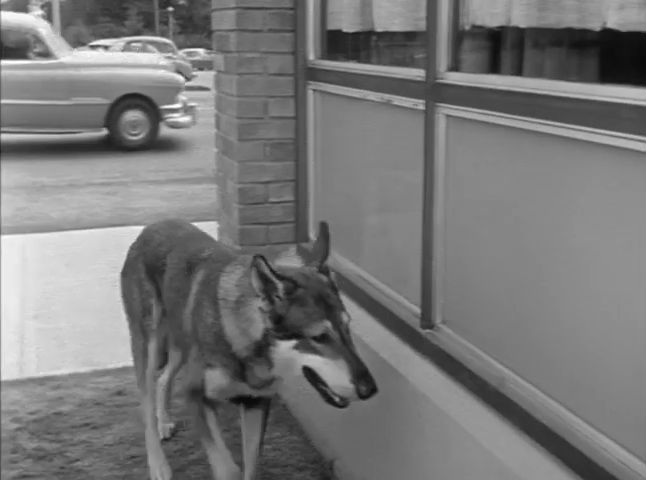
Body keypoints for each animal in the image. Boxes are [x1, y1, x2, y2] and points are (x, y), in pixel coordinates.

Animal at [120, 218, 380, 480]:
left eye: (347, 327)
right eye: (319, 337)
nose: (370, 390)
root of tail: (152, 226)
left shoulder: (256, 404)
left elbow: (252, 466)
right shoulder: (195, 396)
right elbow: (229, 470)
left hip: (179, 349)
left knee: (164, 380)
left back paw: (164, 422)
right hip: (149, 349)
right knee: (146, 407)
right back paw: (158, 464)